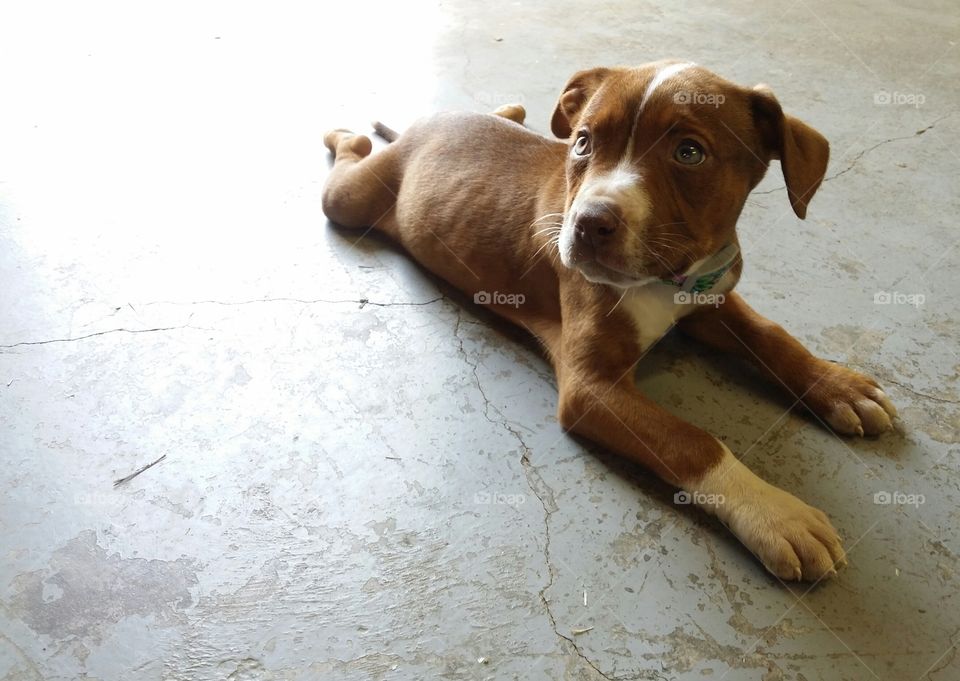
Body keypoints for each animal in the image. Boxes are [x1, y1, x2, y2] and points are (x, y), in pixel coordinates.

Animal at [318, 61, 896, 580]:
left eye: (690, 152)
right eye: (583, 144)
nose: (587, 223)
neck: (667, 281)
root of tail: (422, 126)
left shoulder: (711, 300)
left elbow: (772, 335)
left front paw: (837, 386)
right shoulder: (591, 388)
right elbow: (692, 441)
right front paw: (775, 513)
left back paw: (508, 110)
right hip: (350, 199)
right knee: (348, 161)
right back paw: (344, 133)